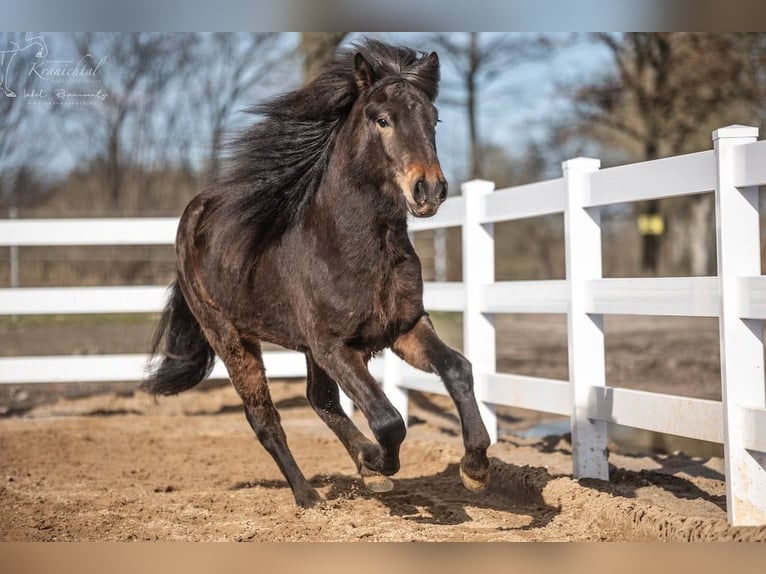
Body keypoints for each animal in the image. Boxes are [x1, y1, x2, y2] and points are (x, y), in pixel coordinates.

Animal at [144, 39, 491, 508]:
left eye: (433, 118)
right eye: (382, 119)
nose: (429, 190)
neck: (347, 248)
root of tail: (193, 215)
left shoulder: (403, 329)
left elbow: (458, 369)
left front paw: (474, 468)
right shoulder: (331, 346)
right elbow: (388, 419)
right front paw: (378, 461)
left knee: (319, 399)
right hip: (231, 338)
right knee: (265, 419)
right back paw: (310, 496)